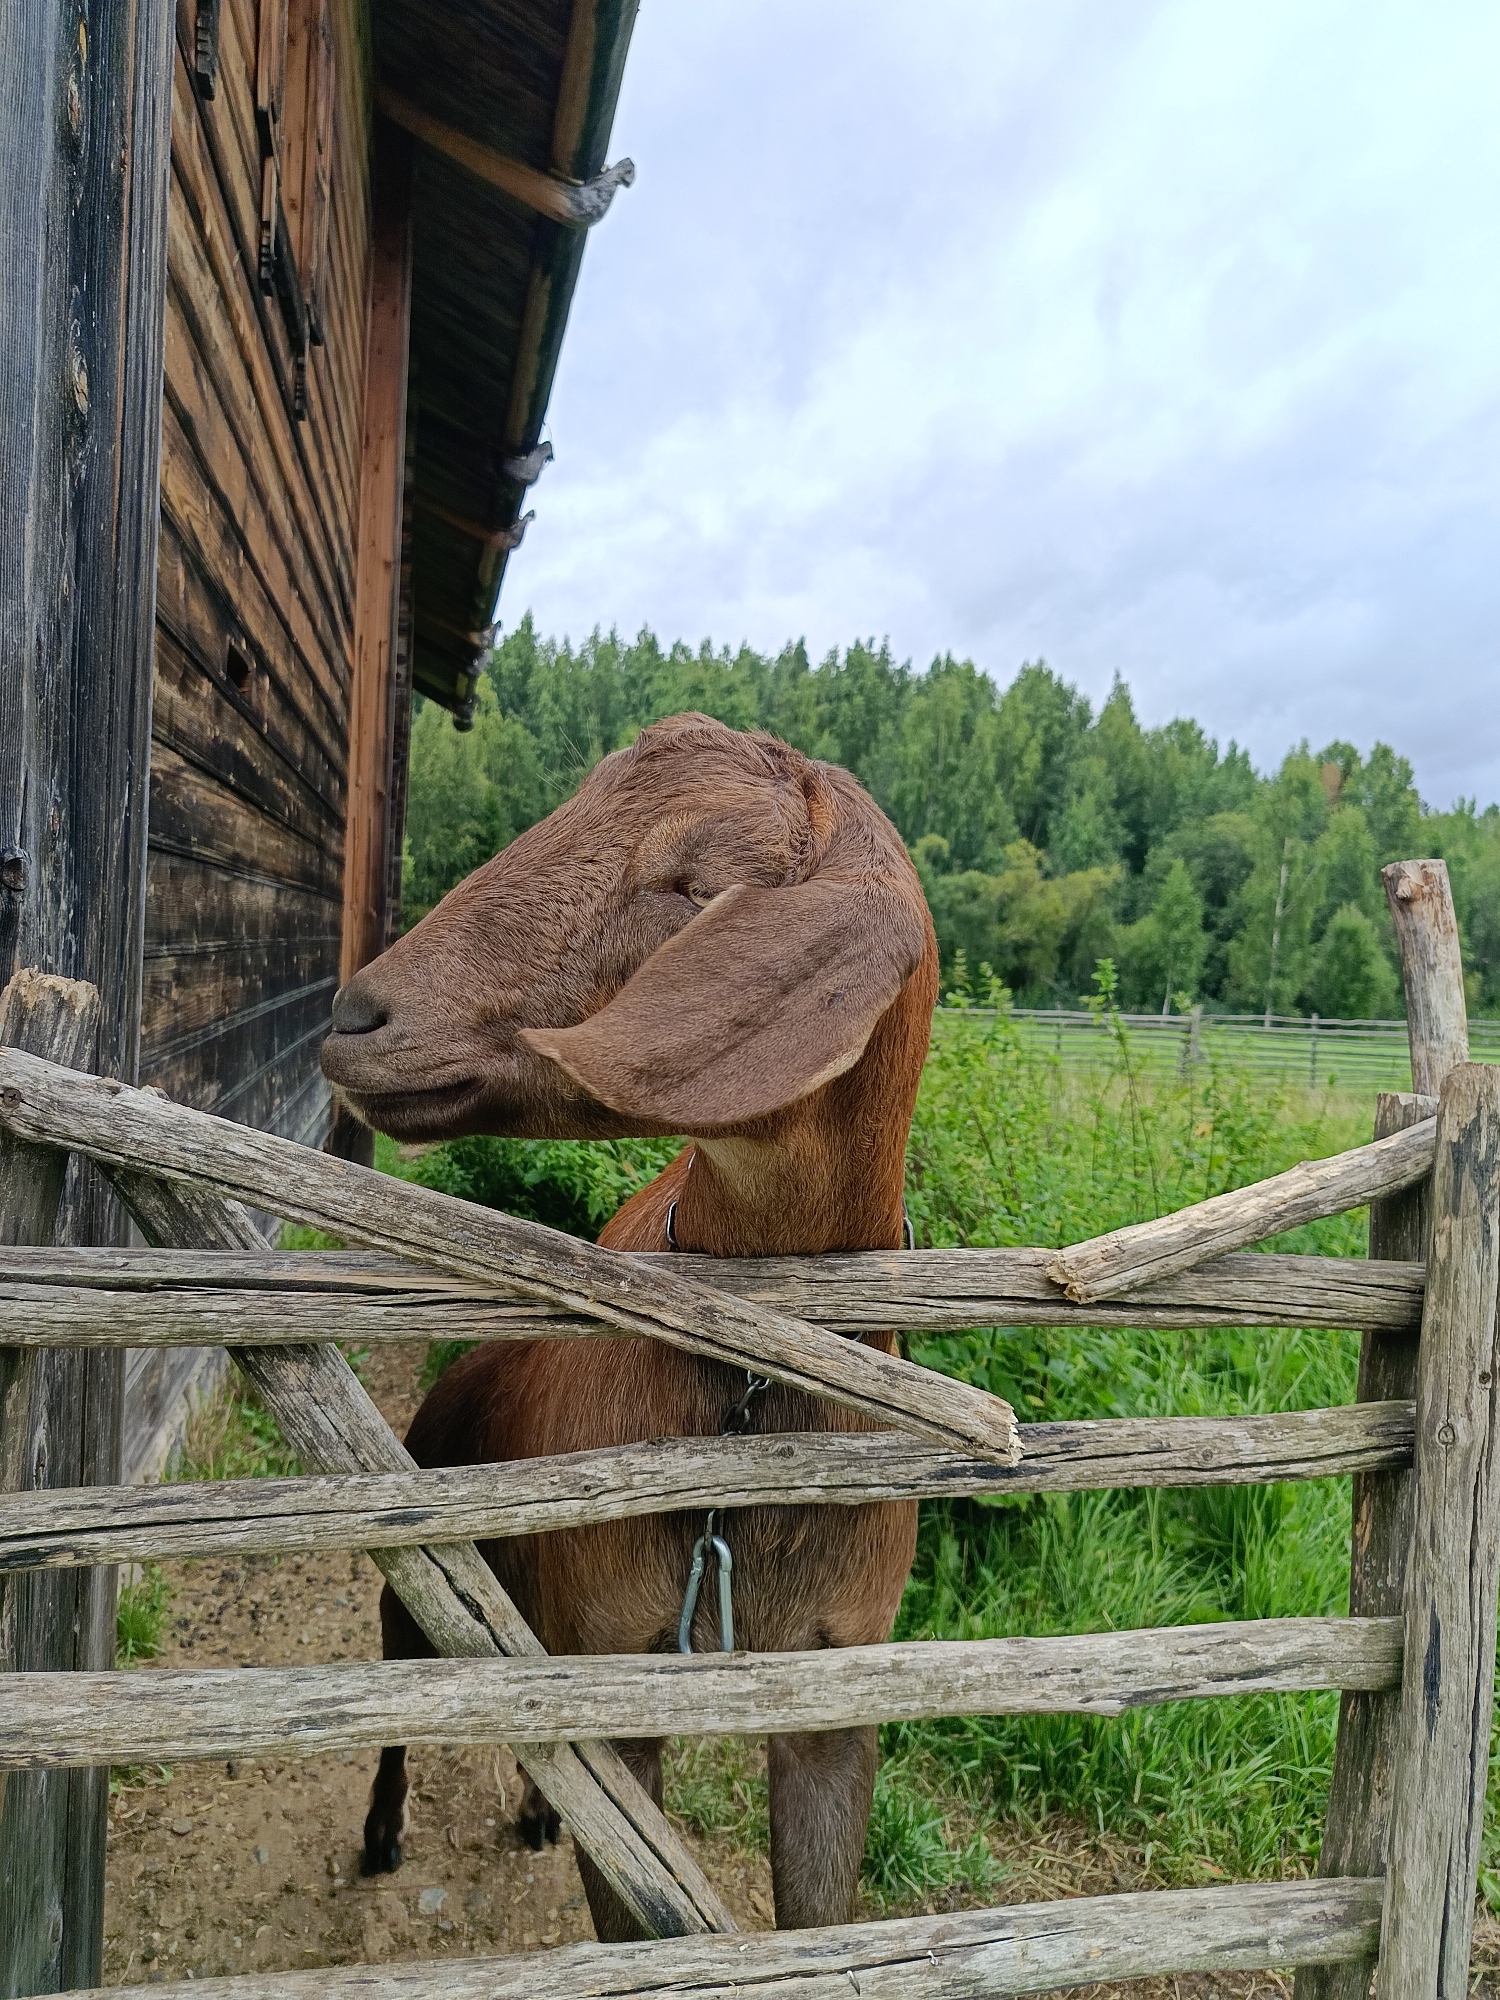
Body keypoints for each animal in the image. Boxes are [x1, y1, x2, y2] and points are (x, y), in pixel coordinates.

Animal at [320, 712, 939, 1937]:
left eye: (695, 887)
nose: (359, 1016)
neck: (751, 1404)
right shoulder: (617, 1654)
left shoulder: (837, 1684)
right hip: (424, 1585)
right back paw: (377, 1835)